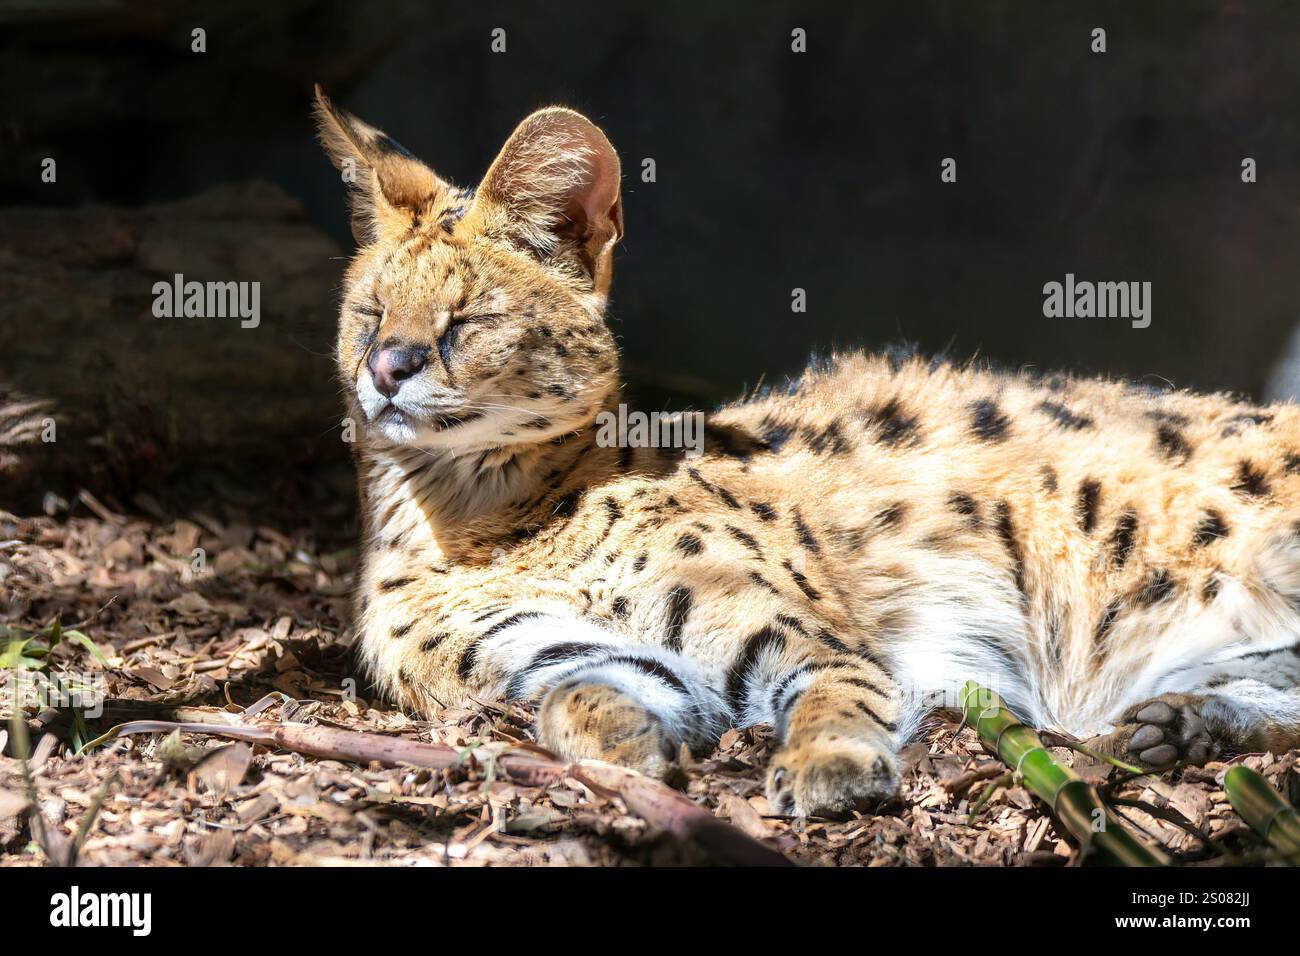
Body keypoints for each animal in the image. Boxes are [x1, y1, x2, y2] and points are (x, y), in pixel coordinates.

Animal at [312, 89, 1300, 816]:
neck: (480, 515)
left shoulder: (806, 637)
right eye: (369, 314)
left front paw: (831, 765)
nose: (387, 366)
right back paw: (1185, 725)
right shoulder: (569, 659)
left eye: (465, 321)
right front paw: (625, 755)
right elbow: (578, 696)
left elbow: (837, 693)